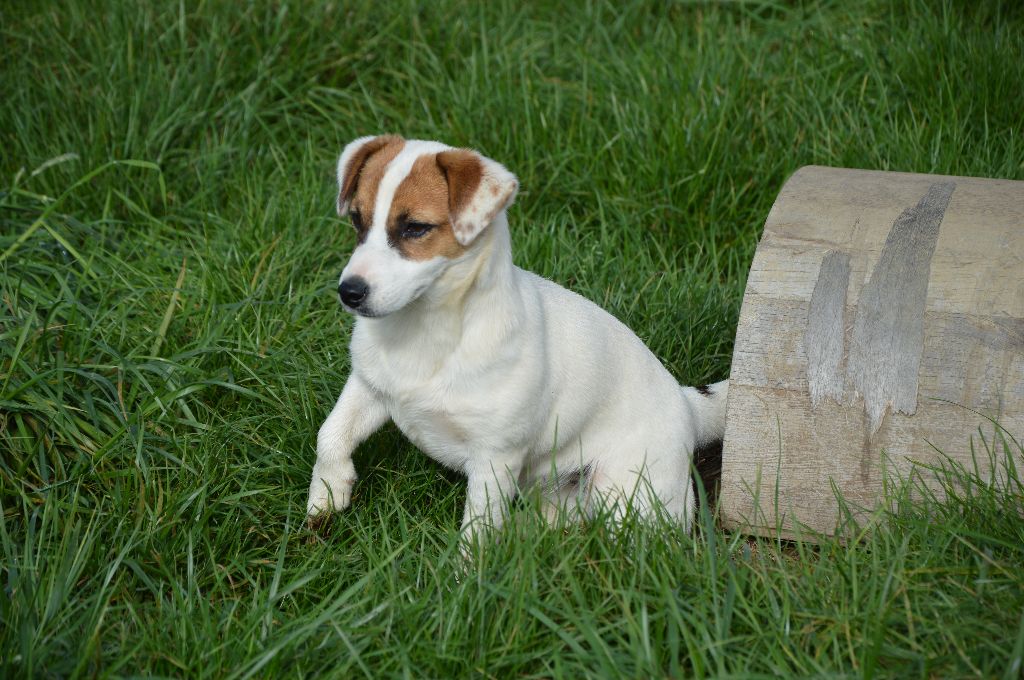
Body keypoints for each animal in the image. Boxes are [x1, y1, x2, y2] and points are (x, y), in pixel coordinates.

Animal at [303, 135, 729, 540]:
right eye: (356, 220)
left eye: (415, 228)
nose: (349, 292)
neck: (426, 334)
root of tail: (686, 403)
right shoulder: (369, 386)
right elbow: (330, 434)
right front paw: (327, 495)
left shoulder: (495, 457)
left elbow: (479, 526)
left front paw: (468, 567)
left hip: (630, 497)